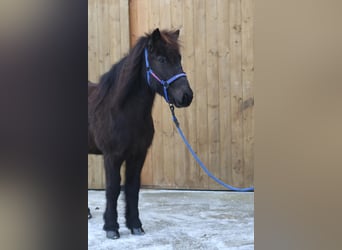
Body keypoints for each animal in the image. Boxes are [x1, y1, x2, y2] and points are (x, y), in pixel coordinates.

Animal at [88, 28, 192, 239]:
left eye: (179, 58)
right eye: (161, 59)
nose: (186, 96)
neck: (121, 111)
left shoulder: (138, 155)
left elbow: (132, 187)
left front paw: (135, 225)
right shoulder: (112, 156)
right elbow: (113, 189)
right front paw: (111, 227)